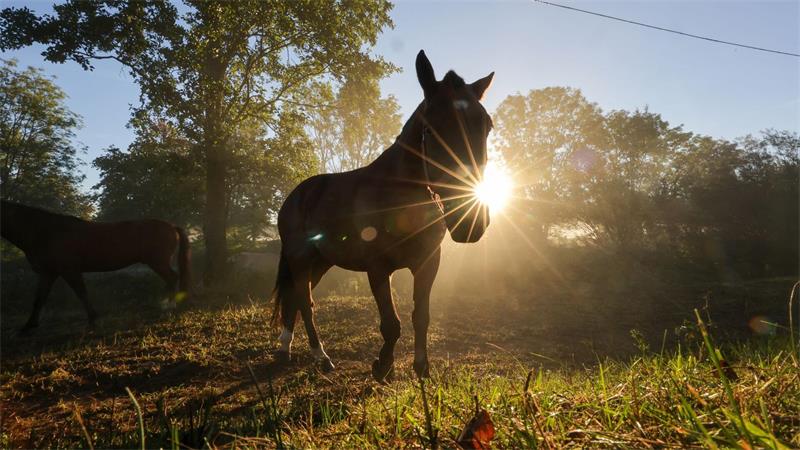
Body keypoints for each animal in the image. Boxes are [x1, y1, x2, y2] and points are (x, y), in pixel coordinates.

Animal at [0, 200, 191, 333]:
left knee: (172, 278)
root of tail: (171, 226)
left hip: (157, 262)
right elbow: (39, 299)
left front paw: (93, 320)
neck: (45, 232)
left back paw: (168, 307)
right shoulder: (49, 273)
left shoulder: (69, 271)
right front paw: (28, 326)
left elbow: (82, 294)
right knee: (171, 279)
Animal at [271, 50, 495, 381]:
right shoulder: (378, 268)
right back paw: (320, 356)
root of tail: (296, 194)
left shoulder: (427, 264)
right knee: (304, 303)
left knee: (295, 301)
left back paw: (286, 348)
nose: (471, 222)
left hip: (320, 261)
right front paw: (383, 366)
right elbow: (391, 324)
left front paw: (421, 367)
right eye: (429, 129)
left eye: (486, 126)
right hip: (300, 258)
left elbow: (421, 317)